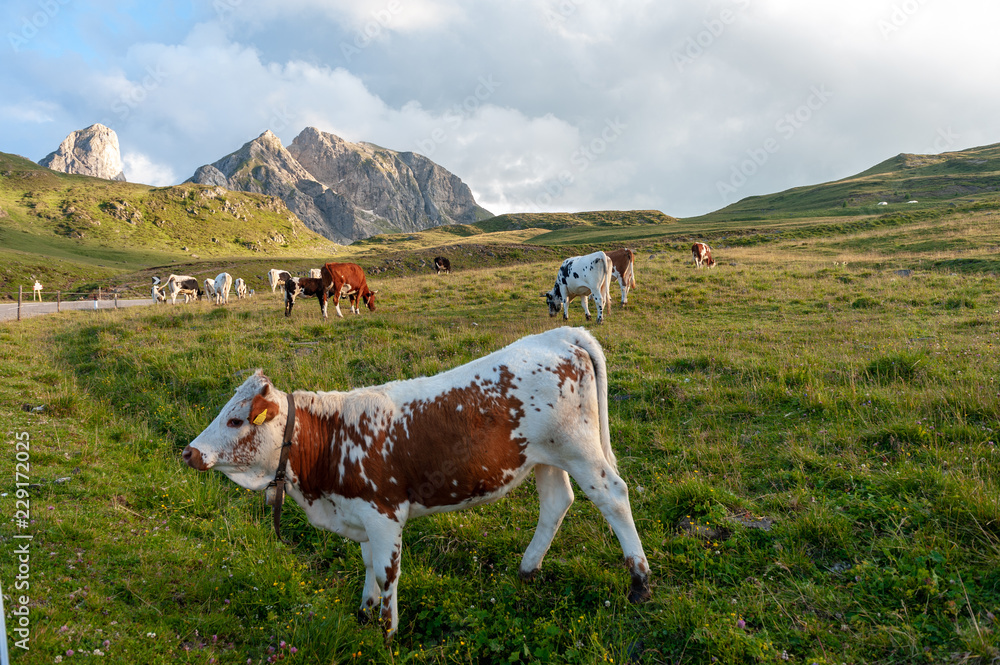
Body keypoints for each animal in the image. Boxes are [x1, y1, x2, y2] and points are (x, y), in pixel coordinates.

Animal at [184, 326, 652, 640]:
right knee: (556, 502)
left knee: (613, 496)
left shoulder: (384, 513)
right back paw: (527, 569)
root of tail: (559, 334)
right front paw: (364, 612)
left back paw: (640, 582)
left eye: (236, 420)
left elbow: (387, 571)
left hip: (579, 448)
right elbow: (369, 565)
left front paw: (388, 633)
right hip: (544, 456)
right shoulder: (360, 514)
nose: (189, 452)